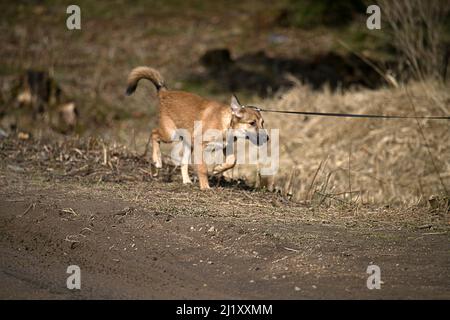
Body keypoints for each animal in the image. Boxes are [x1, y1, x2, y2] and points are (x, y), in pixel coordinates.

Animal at [125, 66, 268, 189]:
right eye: (252, 123)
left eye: (262, 123)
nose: (267, 138)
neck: (225, 124)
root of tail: (164, 92)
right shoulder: (200, 146)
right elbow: (202, 168)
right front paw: (205, 187)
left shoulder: (226, 147)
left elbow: (232, 161)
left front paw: (218, 169)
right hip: (171, 134)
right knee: (154, 133)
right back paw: (157, 161)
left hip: (188, 143)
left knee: (183, 163)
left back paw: (186, 181)